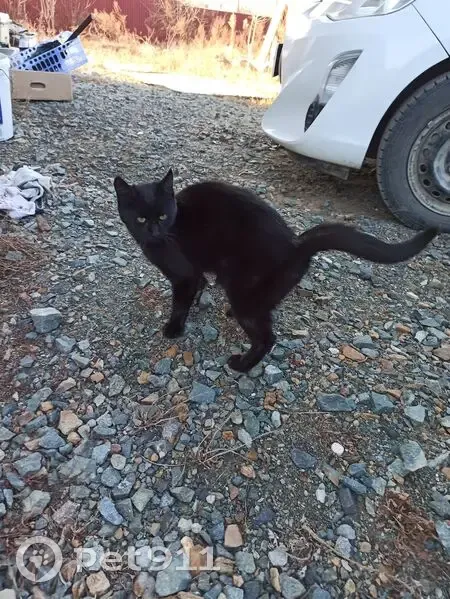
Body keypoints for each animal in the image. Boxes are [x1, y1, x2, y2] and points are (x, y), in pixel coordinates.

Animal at [113, 168, 438, 373]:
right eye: (141, 218)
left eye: (162, 216)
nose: (153, 231)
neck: (173, 227)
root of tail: (295, 244)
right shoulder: (196, 272)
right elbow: (200, 286)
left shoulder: (183, 273)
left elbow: (181, 301)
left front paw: (174, 327)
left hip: (245, 292)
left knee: (267, 338)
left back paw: (242, 365)